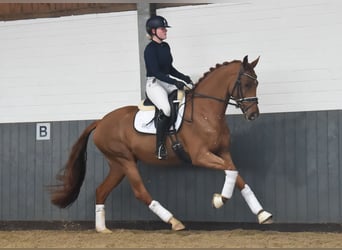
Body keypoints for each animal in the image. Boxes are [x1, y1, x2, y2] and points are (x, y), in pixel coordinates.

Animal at [49, 55, 272, 232]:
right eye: (246, 84)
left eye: (256, 83)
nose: (253, 115)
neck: (205, 112)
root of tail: (101, 121)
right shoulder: (200, 156)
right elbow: (231, 172)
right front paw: (220, 200)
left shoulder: (223, 152)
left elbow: (237, 175)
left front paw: (262, 214)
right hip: (124, 160)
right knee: (140, 192)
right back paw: (174, 221)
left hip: (118, 165)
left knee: (101, 190)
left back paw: (102, 229)